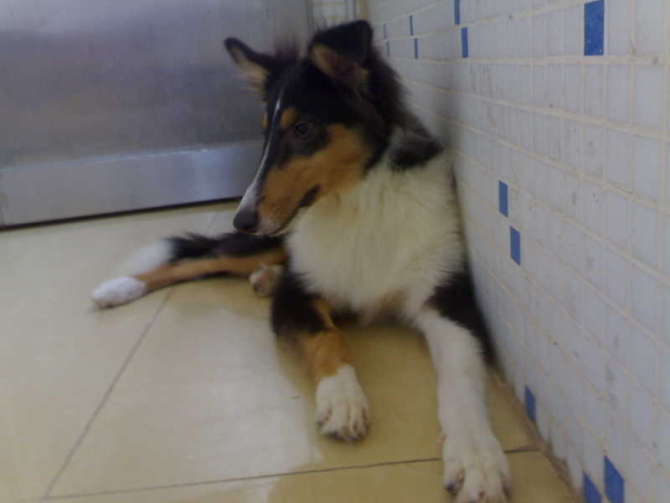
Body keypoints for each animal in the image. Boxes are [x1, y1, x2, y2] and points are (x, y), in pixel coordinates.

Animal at [91, 21, 510, 502]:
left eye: (304, 129)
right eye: (264, 132)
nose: (242, 217)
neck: (357, 203)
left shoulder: (448, 300)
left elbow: (461, 376)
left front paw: (477, 457)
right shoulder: (299, 294)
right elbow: (326, 335)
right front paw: (342, 399)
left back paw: (263, 277)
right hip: (263, 242)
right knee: (196, 257)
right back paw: (118, 288)